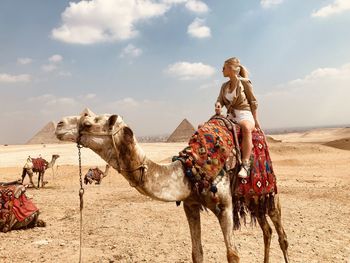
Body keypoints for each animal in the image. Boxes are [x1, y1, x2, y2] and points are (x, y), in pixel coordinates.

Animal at [55, 108, 290, 262]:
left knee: (281, 235)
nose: (59, 125)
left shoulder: (225, 206)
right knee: (267, 230)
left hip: (271, 192)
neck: (190, 170)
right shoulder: (190, 205)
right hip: (254, 198)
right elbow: (197, 253)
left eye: (88, 123)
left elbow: (233, 254)